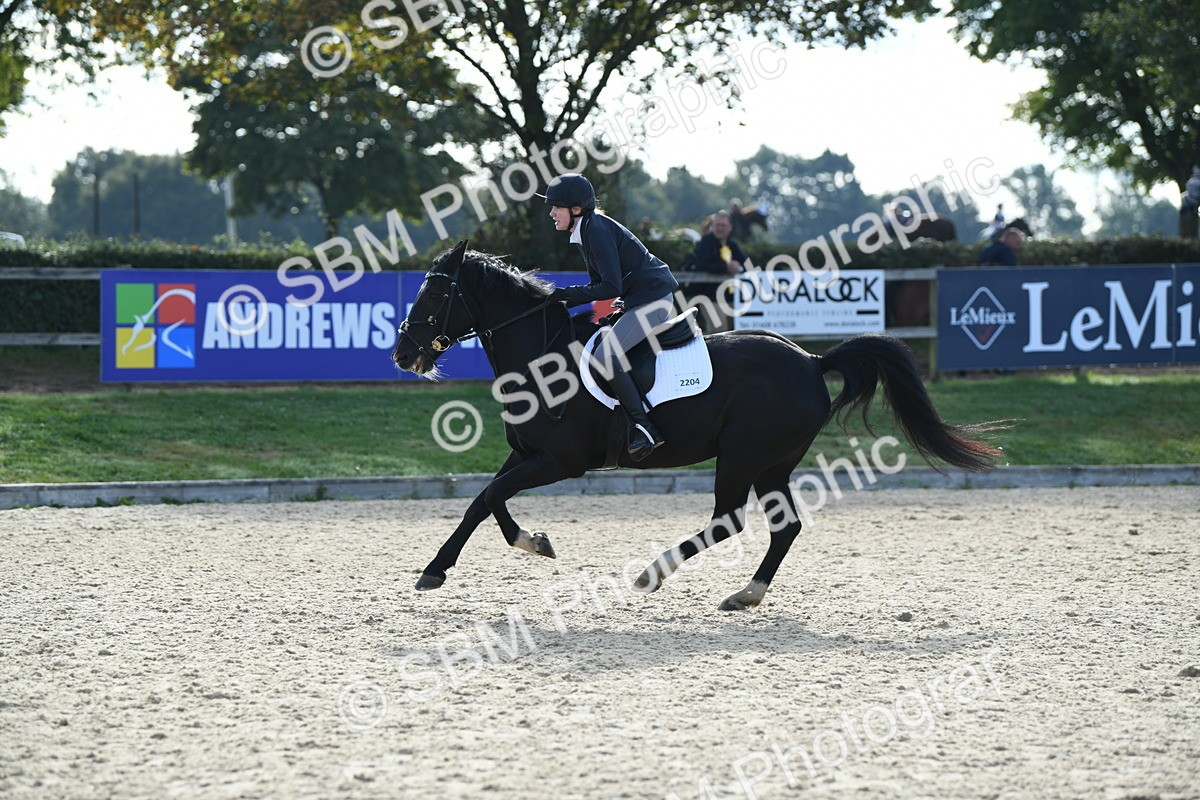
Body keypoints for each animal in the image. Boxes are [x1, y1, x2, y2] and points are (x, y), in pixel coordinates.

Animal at [391, 241, 1006, 611]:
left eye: (437, 291)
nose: (402, 354)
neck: (540, 358)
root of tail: (811, 361)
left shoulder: (559, 462)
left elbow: (488, 496)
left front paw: (446, 566)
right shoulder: (527, 455)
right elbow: (485, 500)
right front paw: (523, 545)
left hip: (741, 454)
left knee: (728, 519)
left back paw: (653, 573)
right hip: (771, 462)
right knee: (783, 526)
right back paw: (747, 593)